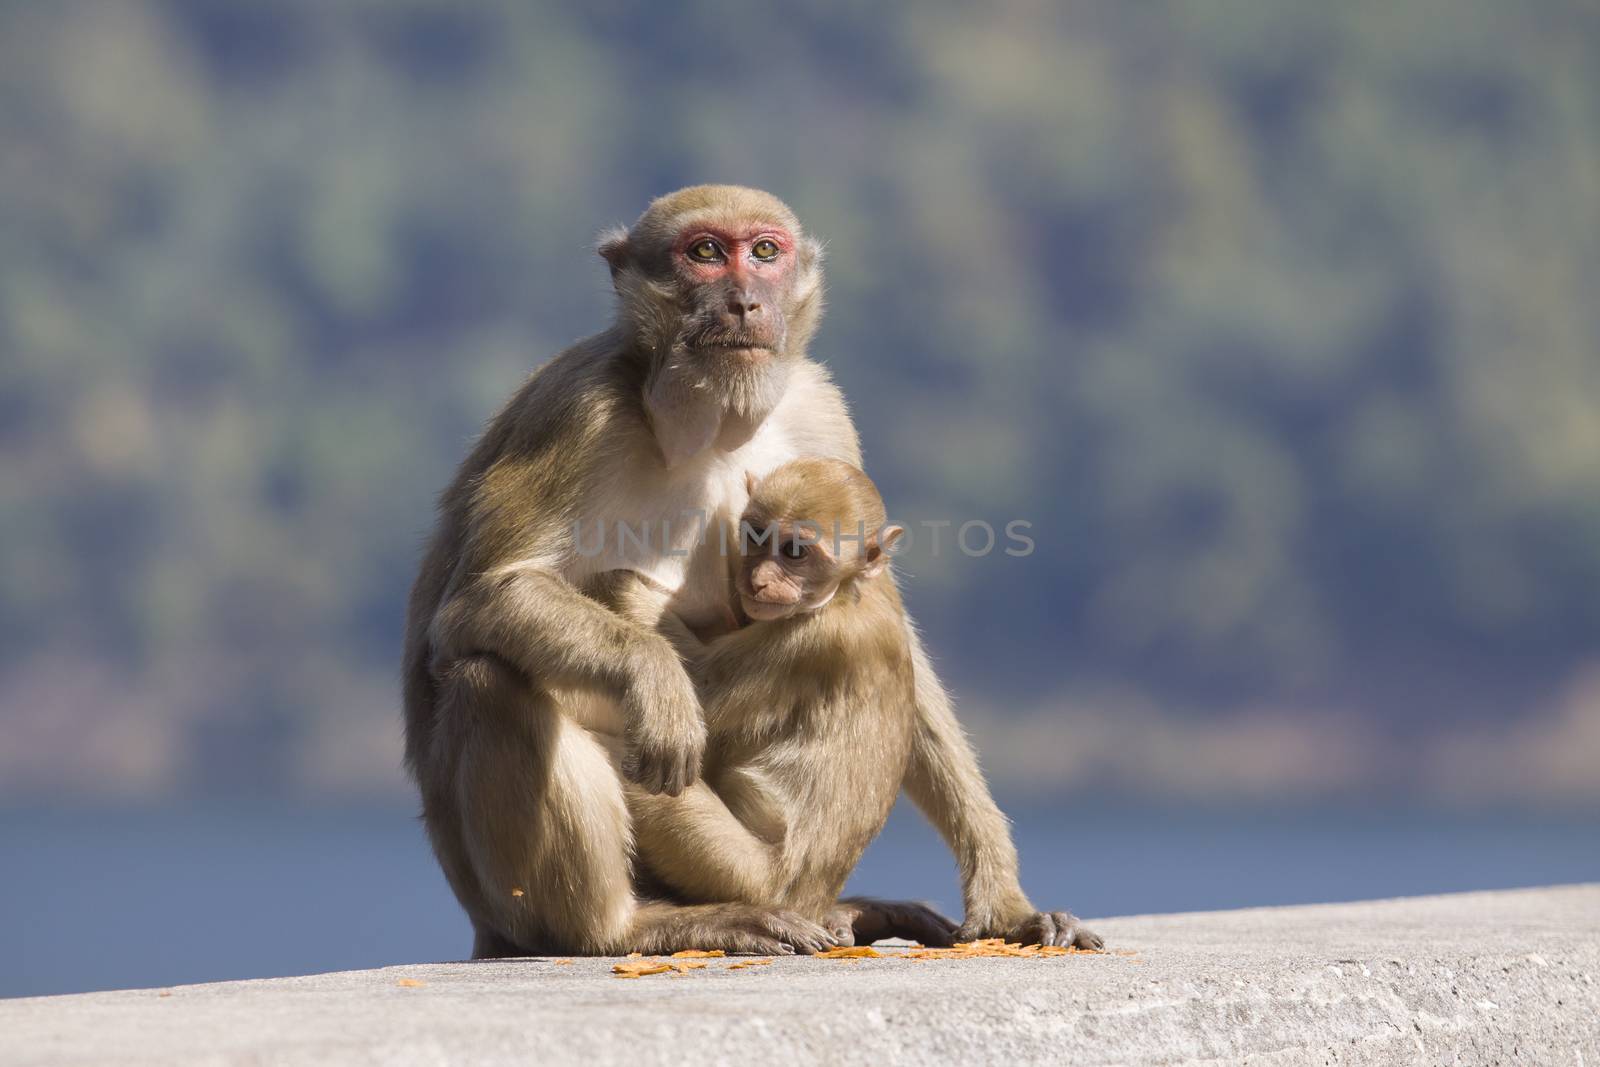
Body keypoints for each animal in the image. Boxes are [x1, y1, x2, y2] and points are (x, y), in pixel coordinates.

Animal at [592, 460, 953, 953]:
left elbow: (697, 692)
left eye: (795, 551)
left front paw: (620, 581)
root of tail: (809, 901)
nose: (759, 580)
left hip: (740, 870)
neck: (842, 595)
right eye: (757, 537)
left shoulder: (809, 644)